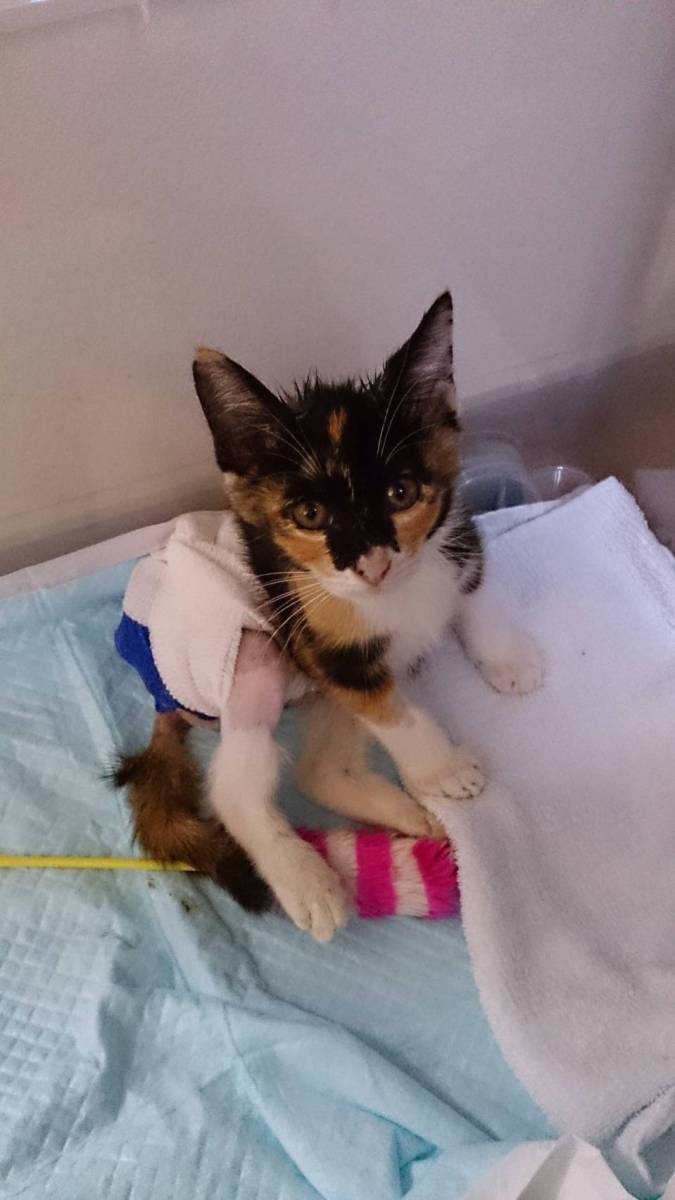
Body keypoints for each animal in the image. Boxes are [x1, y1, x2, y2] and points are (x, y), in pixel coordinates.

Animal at [114, 292, 542, 940]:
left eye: (400, 493)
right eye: (310, 514)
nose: (371, 565)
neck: (399, 593)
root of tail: (156, 694)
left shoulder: (457, 531)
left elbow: (472, 586)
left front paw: (508, 659)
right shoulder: (323, 644)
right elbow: (394, 714)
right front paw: (443, 771)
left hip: (311, 688)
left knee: (316, 769)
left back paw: (409, 816)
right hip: (252, 651)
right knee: (234, 786)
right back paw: (307, 880)